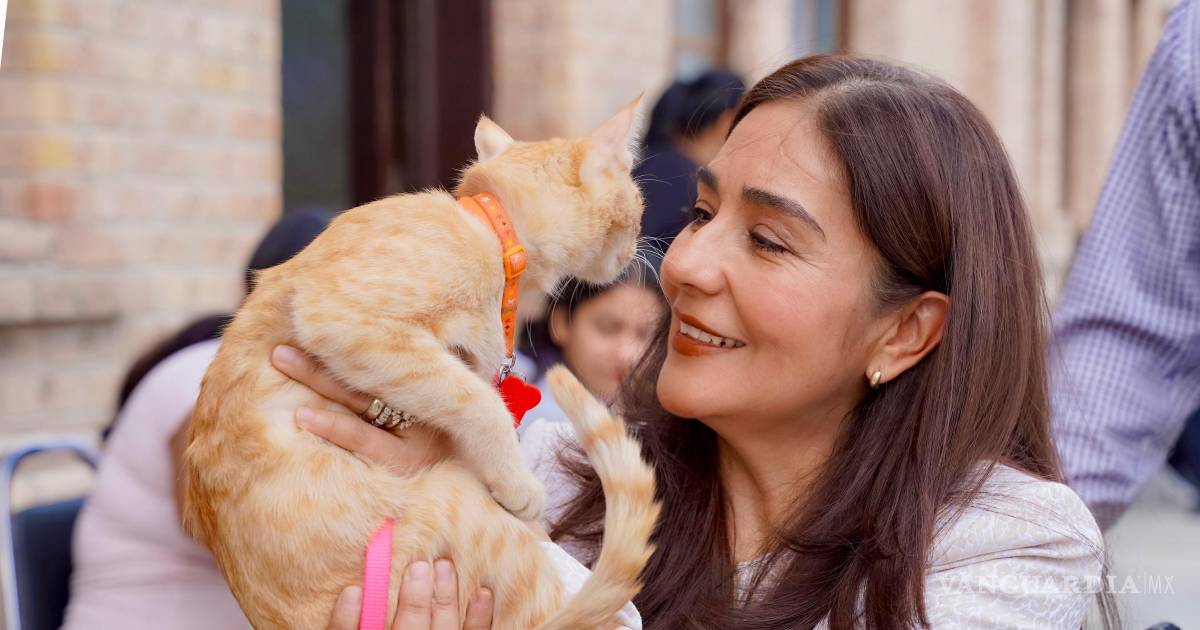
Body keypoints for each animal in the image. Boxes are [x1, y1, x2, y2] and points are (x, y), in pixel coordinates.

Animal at [182, 98, 660, 629]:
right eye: (639, 208)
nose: (639, 250)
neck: (495, 239)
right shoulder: (343, 318)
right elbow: (479, 403)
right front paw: (518, 483)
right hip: (458, 506)